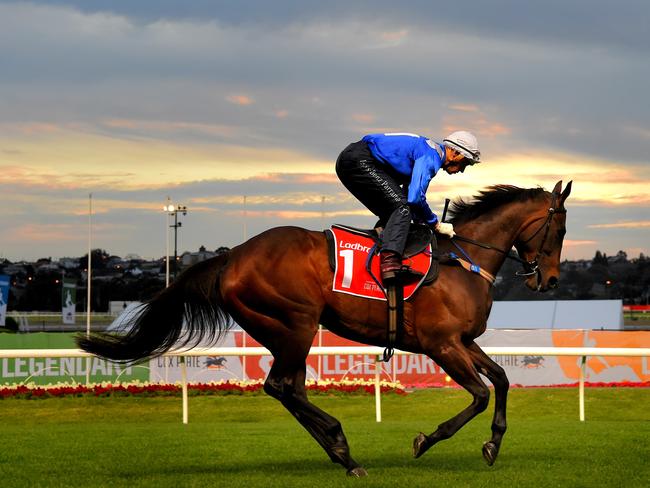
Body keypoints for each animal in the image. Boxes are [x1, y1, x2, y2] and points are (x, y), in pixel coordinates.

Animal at [78, 179, 568, 476]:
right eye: (560, 230)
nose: (549, 281)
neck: (464, 262)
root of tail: (232, 257)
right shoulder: (441, 344)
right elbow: (481, 394)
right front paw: (426, 440)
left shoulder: (464, 341)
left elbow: (501, 379)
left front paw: (494, 444)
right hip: (296, 322)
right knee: (281, 386)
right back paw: (342, 445)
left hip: (284, 331)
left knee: (290, 389)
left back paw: (340, 453)